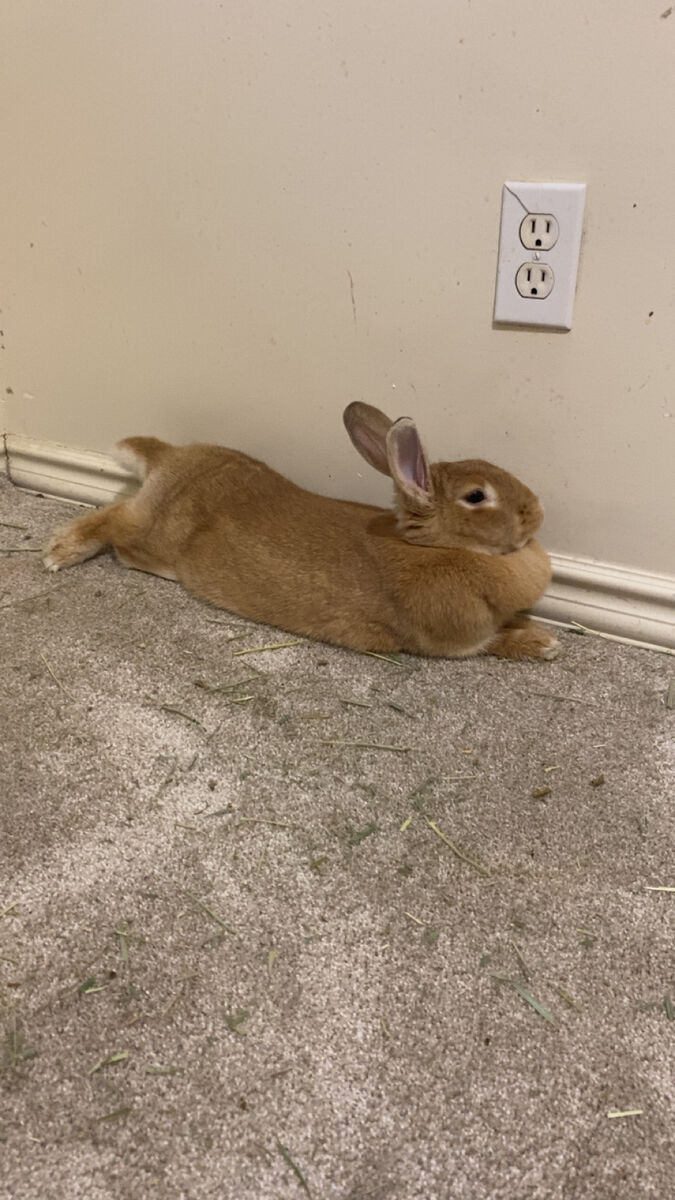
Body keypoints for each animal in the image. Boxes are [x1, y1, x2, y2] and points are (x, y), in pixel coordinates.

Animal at [42, 403, 560, 661]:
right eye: (477, 496)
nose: (537, 512)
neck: (431, 547)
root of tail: (171, 459)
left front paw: (539, 634)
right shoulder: (455, 641)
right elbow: (494, 642)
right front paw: (544, 645)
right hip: (152, 534)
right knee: (116, 520)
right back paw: (59, 552)